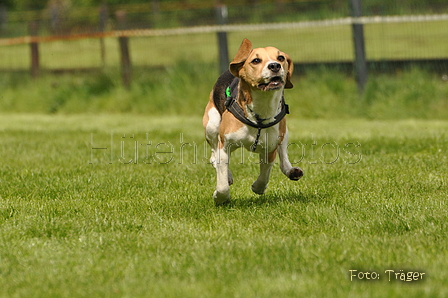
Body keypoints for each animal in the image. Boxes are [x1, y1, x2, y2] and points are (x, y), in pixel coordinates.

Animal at [204, 38, 304, 205]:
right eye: (256, 60)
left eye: (280, 58)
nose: (275, 66)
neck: (259, 114)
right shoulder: (224, 146)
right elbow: (222, 180)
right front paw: (220, 197)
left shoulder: (270, 148)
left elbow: (265, 173)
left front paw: (258, 187)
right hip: (211, 125)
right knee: (213, 156)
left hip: (284, 132)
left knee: (283, 155)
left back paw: (291, 170)